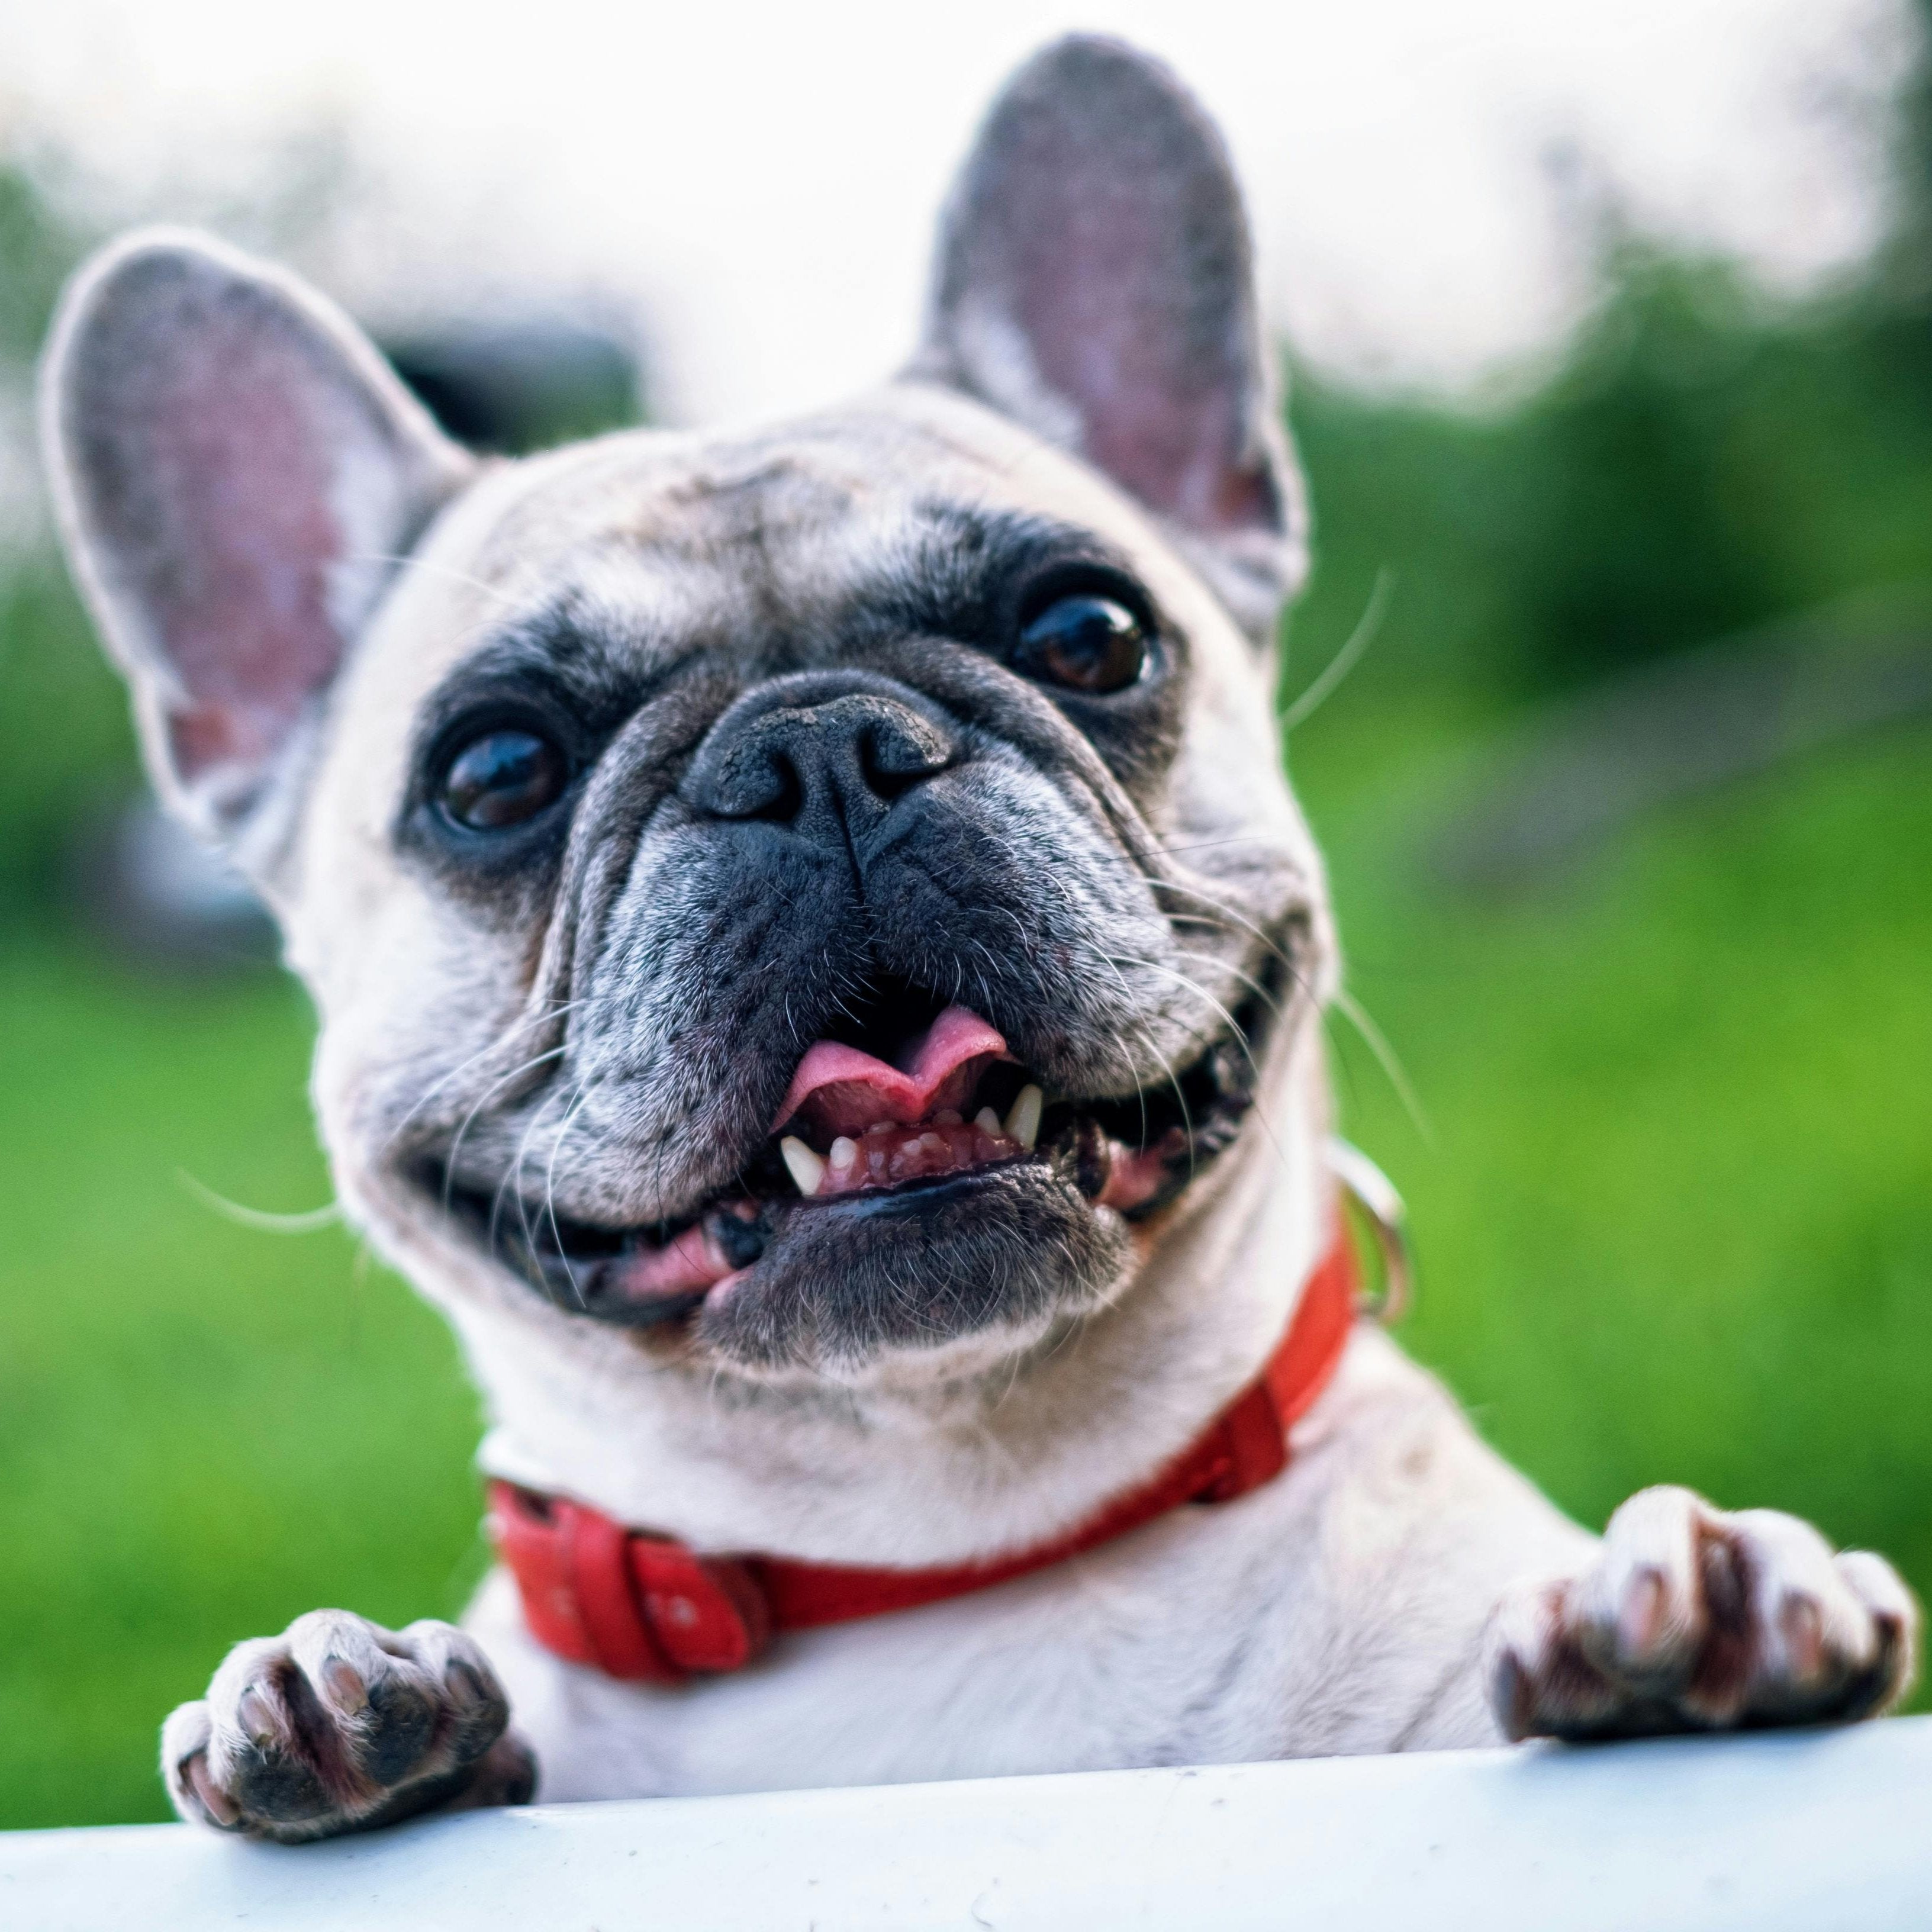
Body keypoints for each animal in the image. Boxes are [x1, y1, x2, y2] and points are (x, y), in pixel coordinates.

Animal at [37, 37, 1908, 1831]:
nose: (815, 750)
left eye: (1089, 632)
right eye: (494, 770)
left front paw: (1719, 1615)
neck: (943, 1549)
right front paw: (345, 1705)